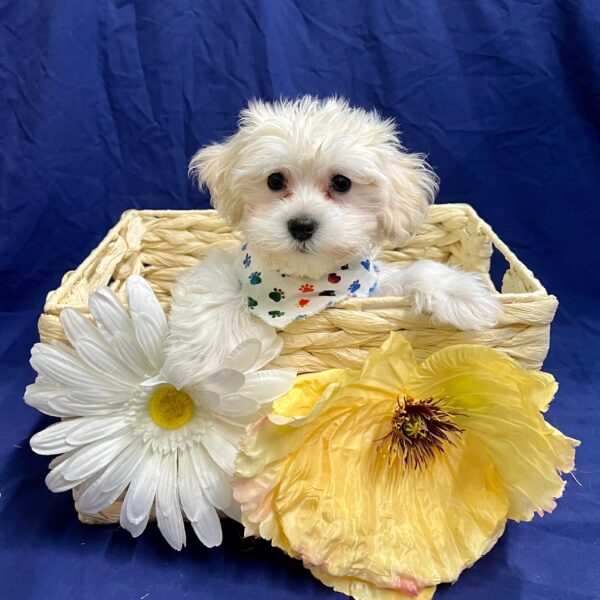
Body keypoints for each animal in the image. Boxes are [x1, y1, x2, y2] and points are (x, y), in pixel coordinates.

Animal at [165, 94, 502, 384]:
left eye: (341, 183)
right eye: (275, 180)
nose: (302, 225)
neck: (304, 287)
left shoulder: (367, 289)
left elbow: (413, 271)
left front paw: (463, 295)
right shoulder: (228, 265)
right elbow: (214, 286)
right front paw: (205, 360)